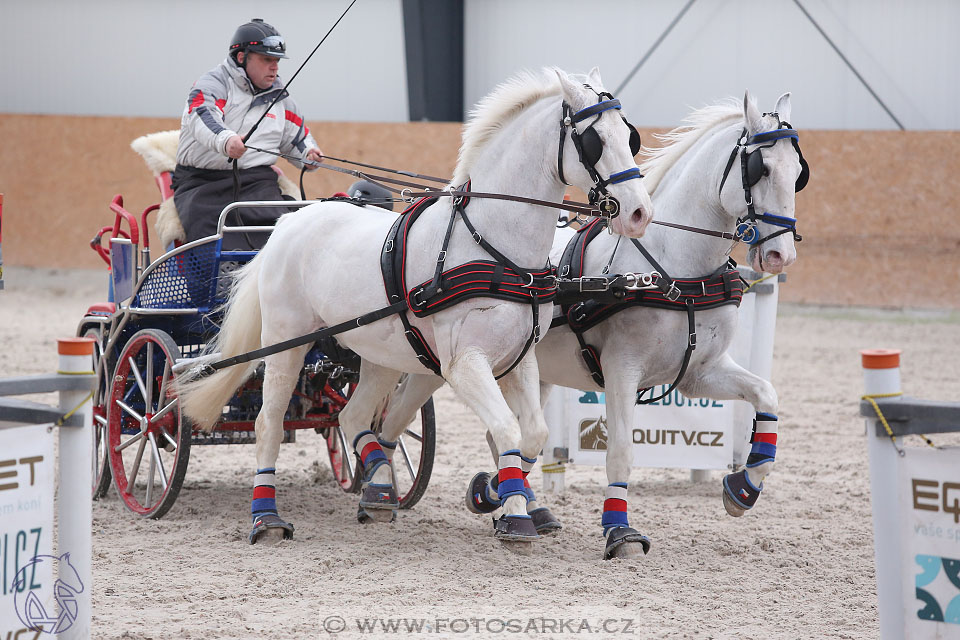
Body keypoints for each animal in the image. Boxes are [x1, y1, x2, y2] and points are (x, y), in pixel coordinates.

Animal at [176, 67, 652, 544]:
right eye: (594, 140)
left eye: (629, 136)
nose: (639, 214)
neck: (490, 247)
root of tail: (290, 221)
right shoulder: (464, 365)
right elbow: (506, 428)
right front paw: (510, 513)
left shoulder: (520, 359)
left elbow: (532, 433)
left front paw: (493, 495)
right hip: (285, 343)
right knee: (268, 423)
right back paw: (267, 517)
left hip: (380, 355)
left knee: (352, 417)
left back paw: (377, 486)